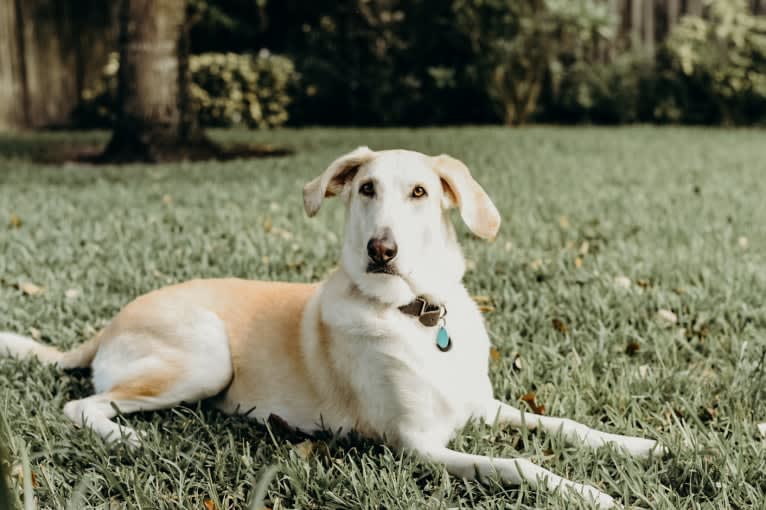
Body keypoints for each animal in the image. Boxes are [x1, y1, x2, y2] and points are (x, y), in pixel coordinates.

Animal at [0, 146, 664, 506]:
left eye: (420, 192)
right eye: (366, 188)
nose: (381, 250)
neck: (418, 316)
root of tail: (110, 323)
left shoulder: (481, 407)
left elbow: (567, 426)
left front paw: (641, 446)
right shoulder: (418, 445)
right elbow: (519, 465)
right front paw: (589, 493)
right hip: (205, 354)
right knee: (83, 405)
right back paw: (127, 439)